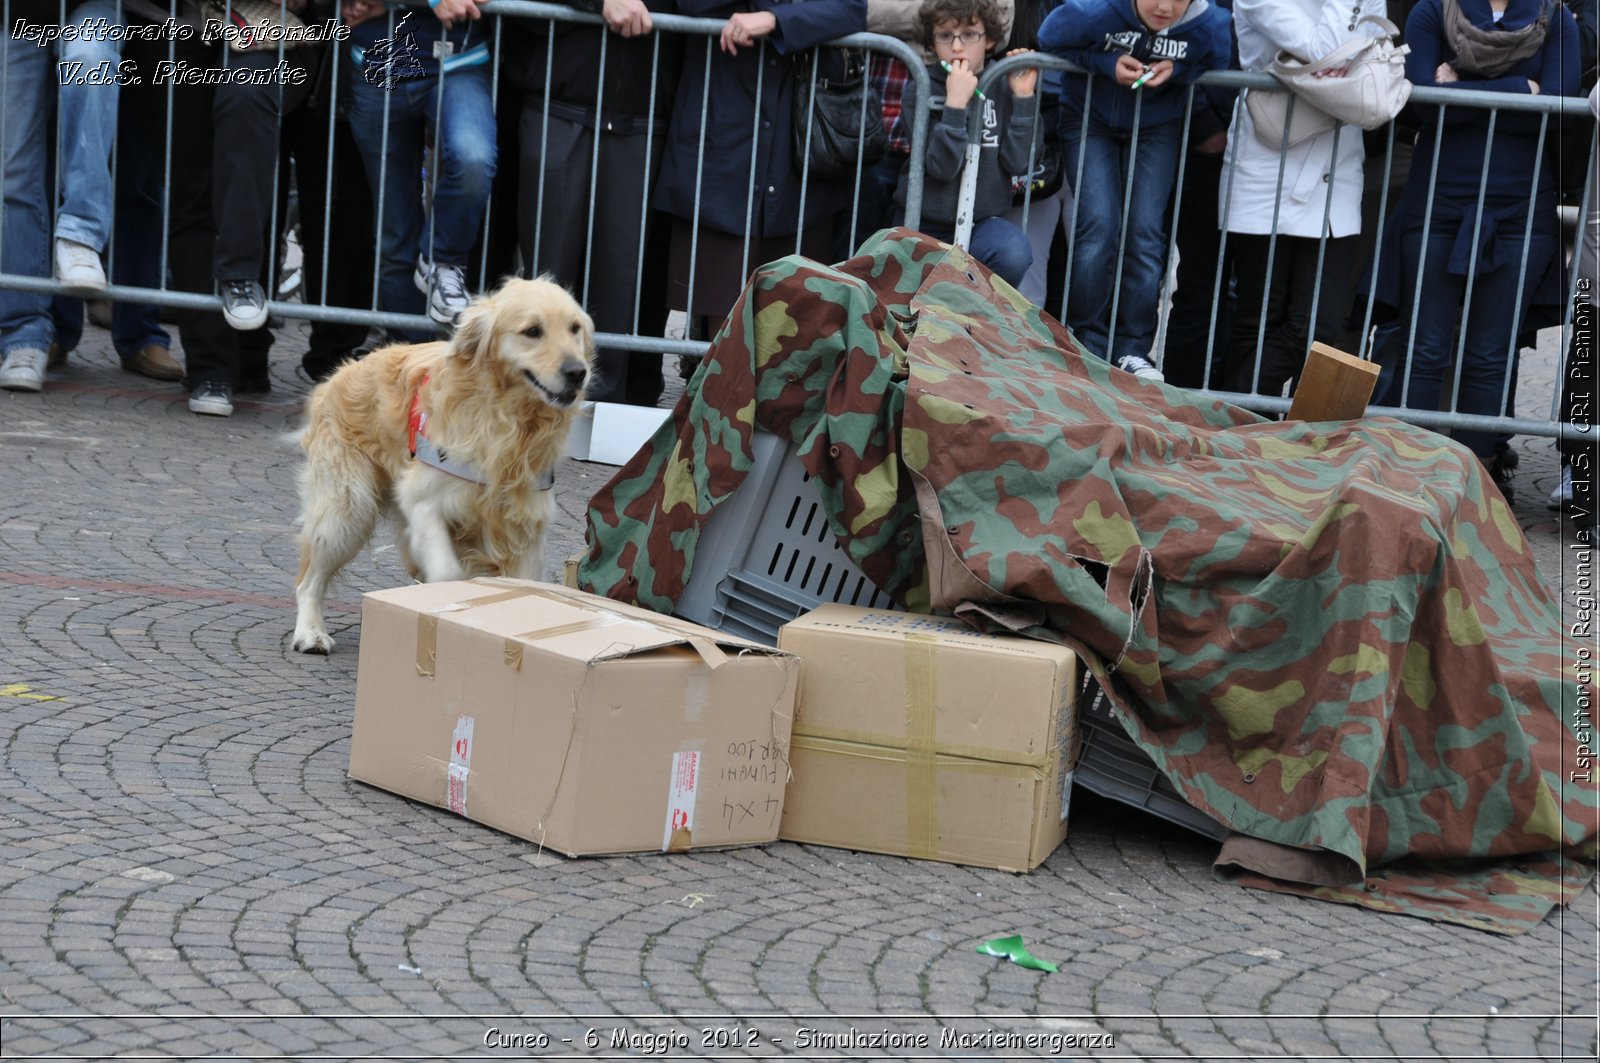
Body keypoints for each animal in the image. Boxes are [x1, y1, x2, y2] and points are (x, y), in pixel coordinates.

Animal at [289, 278, 595, 653]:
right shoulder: (426, 503)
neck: (506, 421)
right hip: (346, 510)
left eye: (574, 328)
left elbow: (524, 589)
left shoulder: (524, 529)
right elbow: (450, 575)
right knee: (309, 578)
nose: (577, 372)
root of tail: (339, 373)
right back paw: (310, 632)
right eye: (532, 331)